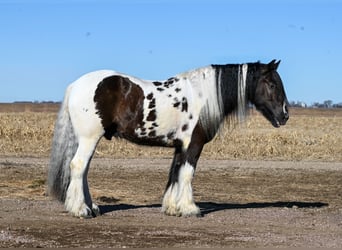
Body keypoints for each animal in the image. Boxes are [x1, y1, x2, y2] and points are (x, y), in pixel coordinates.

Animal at [47, 59, 288, 218]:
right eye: (272, 84)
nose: (285, 114)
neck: (202, 97)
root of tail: (76, 85)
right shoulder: (193, 145)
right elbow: (187, 174)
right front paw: (190, 208)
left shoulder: (180, 146)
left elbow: (175, 173)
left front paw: (172, 208)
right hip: (89, 138)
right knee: (78, 166)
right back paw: (81, 210)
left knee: (83, 170)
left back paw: (92, 207)